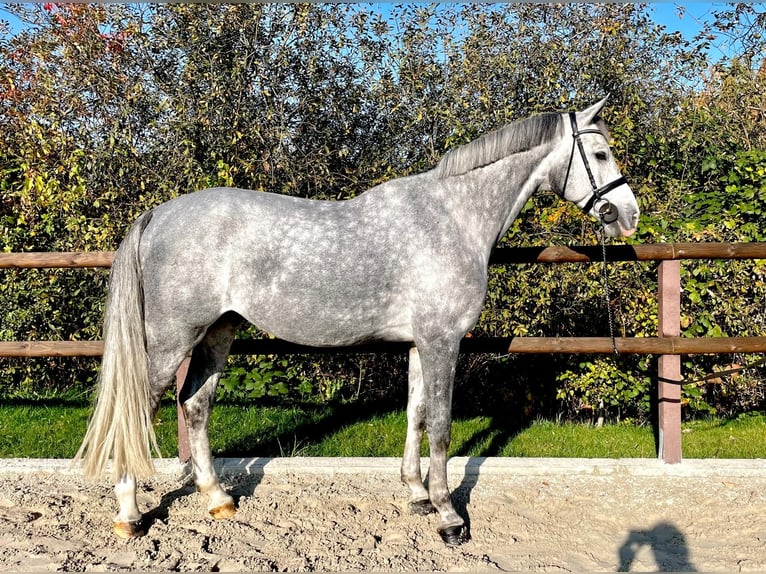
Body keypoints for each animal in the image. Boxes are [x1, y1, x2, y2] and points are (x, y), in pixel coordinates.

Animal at [75, 100, 640, 548]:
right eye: (600, 155)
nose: (629, 215)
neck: (452, 217)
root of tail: (157, 215)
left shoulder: (419, 343)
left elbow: (415, 415)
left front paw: (416, 494)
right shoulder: (443, 341)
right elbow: (441, 426)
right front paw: (448, 516)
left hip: (218, 332)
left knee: (195, 405)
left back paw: (218, 500)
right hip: (170, 341)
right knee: (137, 409)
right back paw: (130, 515)